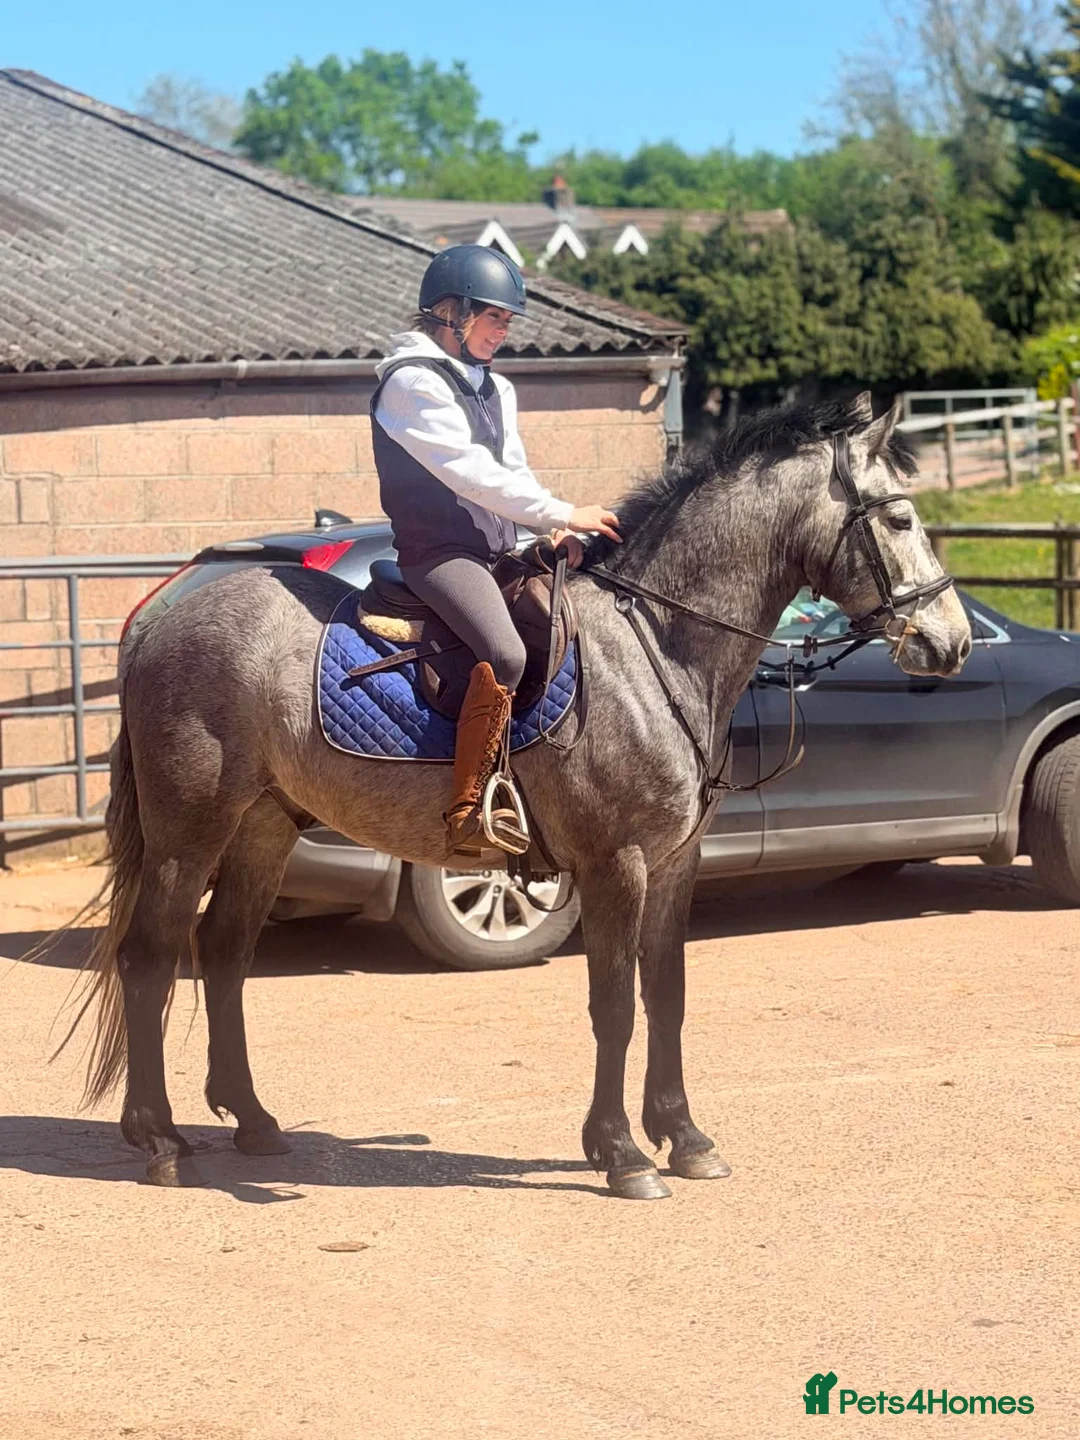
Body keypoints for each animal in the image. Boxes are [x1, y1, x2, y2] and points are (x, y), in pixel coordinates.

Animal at [64, 391, 971, 1200]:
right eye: (900, 520)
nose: (950, 643)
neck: (656, 642)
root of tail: (165, 617)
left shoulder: (675, 866)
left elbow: (667, 997)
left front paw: (685, 1138)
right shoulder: (616, 864)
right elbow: (615, 1005)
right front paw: (622, 1154)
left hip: (262, 827)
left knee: (223, 955)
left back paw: (251, 1121)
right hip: (189, 831)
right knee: (150, 959)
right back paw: (160, 1140)